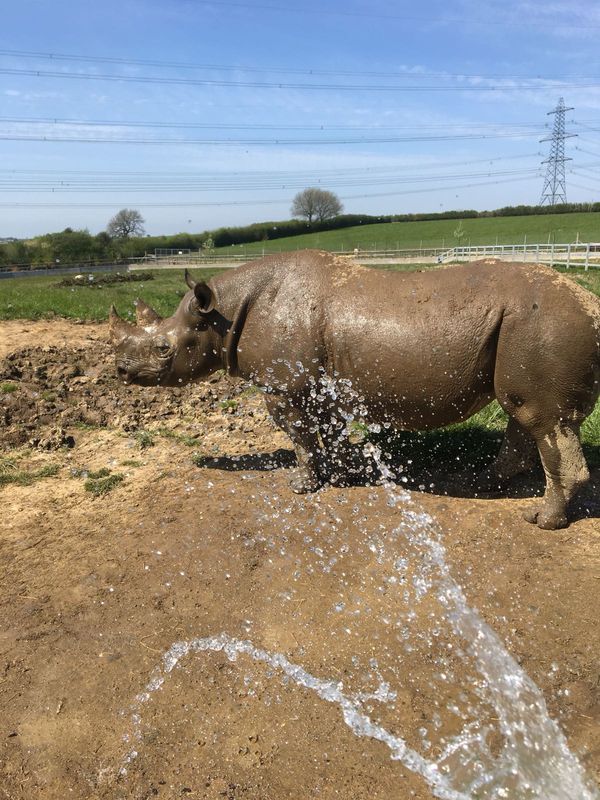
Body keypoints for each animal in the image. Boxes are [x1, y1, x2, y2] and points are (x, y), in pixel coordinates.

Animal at [109, 252, 600, 532]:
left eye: (163, 348)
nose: (120, 371)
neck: (222, 313)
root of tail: (591, 306)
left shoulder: (283, 385)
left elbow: (300, 437)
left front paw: (301, 487)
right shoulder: (322, 382)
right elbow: (328, 431)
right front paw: (344, 475)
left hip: (542, 326)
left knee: (542, 418)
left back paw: (540, 521)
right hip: (529, 328)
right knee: (523, 413)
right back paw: (480, 483)